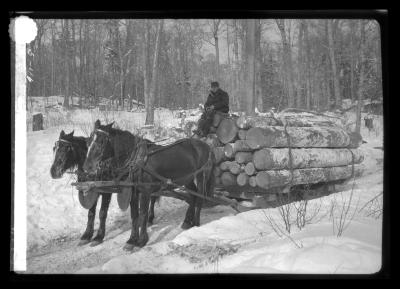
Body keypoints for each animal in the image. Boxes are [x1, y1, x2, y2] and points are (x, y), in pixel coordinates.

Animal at [83, 119, 216, 250]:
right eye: (88, 141)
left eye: (101, 142)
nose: (87, 167)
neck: (136, 159)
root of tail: (206, 146)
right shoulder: (134, 192)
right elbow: (134, 215)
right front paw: (132, 240)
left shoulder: (145, 191)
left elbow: (143, 214)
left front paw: (142, 241)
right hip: (187, 178)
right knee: (193, 195)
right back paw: (187, 222)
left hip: (201, 176)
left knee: (199, 196)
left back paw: (197, 223)